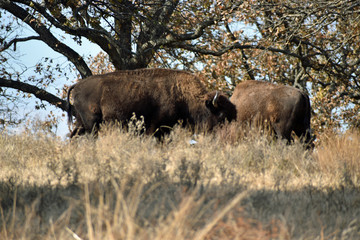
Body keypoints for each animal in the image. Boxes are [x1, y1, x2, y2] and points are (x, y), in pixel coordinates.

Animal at [66, 68, 238, 138]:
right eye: (221, 115)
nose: (225, 135)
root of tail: (77, 85)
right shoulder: (156, 127)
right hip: (91, 123)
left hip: (81, 123)